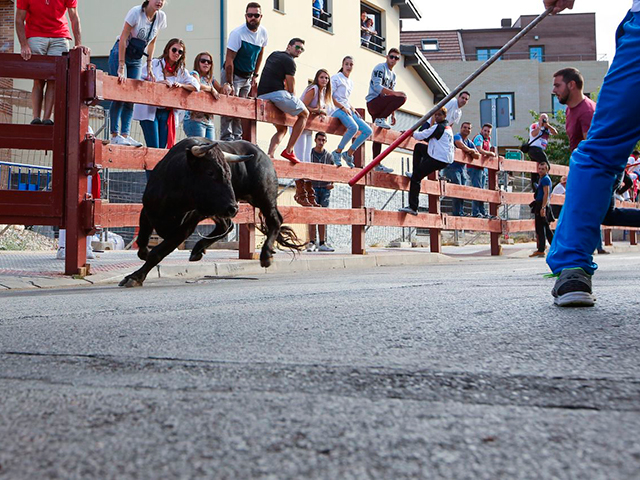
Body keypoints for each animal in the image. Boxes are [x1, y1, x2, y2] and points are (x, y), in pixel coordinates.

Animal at [120, 139, 304, 288]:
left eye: (229, 173)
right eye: (210, 172)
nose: (234, 208)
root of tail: (263, 154)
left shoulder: (185, 227)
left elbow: (158, 252)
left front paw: (135, 277)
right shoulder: (147, 211)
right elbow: (142, 241)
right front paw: (142, 256)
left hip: (263, 198)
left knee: (275, 221)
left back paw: (266, 256)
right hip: (219, 208)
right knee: (227, 225)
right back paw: (198, 250)